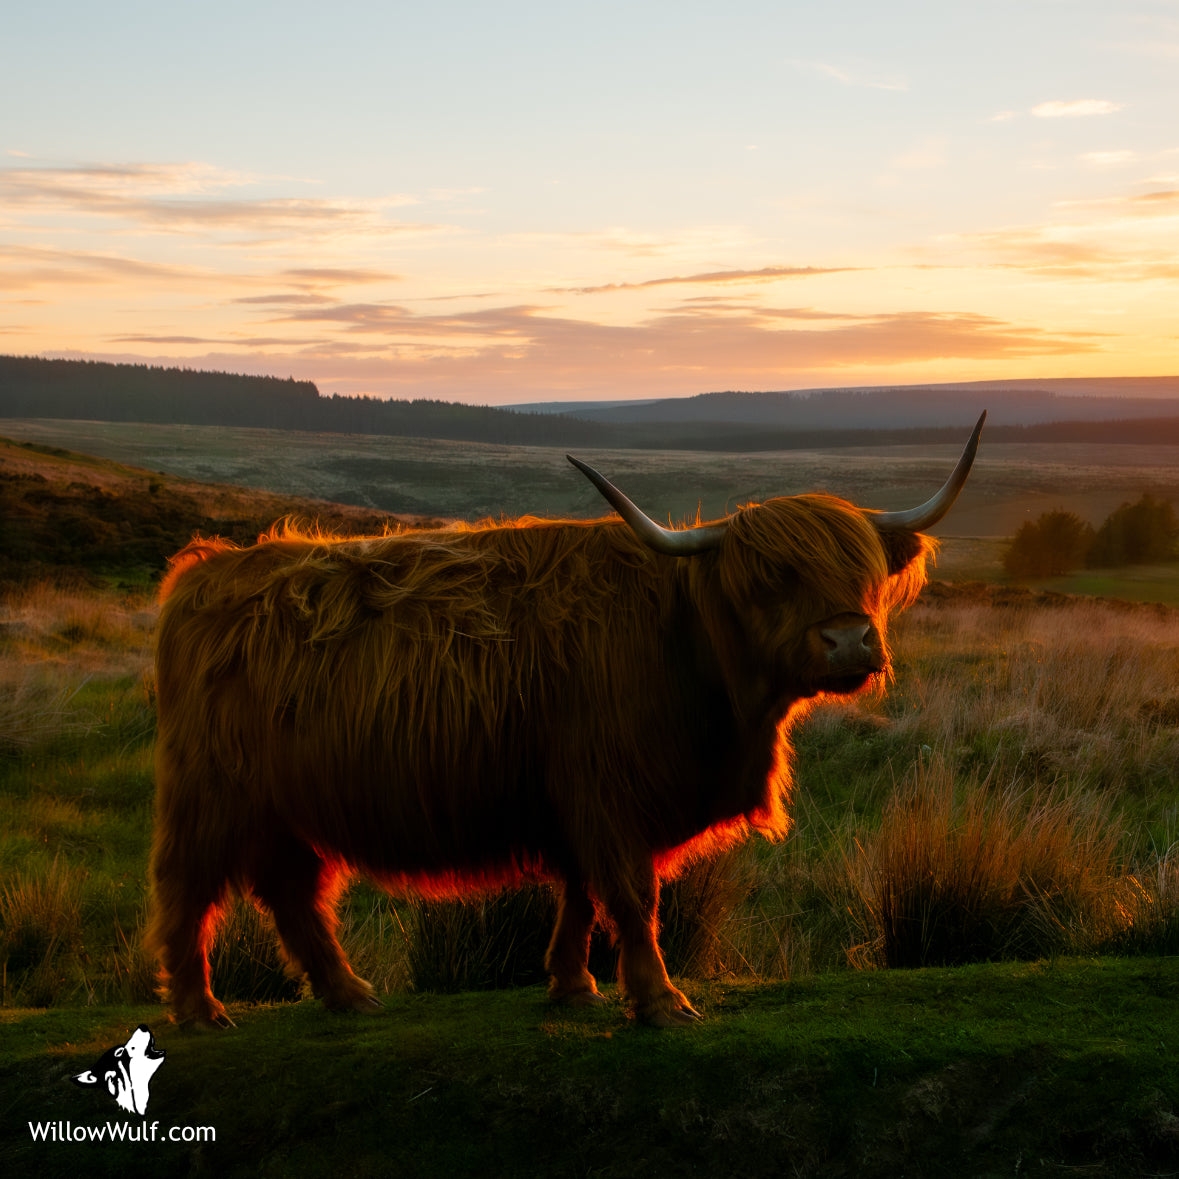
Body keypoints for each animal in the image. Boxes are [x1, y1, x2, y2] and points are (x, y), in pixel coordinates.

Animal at [146, 414, 984, 1028]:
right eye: (768, 579)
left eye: (863, 571)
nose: (849, 642)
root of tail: (206, 570)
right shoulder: (607, 789)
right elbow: (633, 897)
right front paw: (660, 1001)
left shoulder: (580, 799)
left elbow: (581, 895)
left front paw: (574, 985)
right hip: (211, 792)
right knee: (188, 887)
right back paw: (200, 1008)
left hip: (283, 804)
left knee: (293, 894)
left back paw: (348, 993)